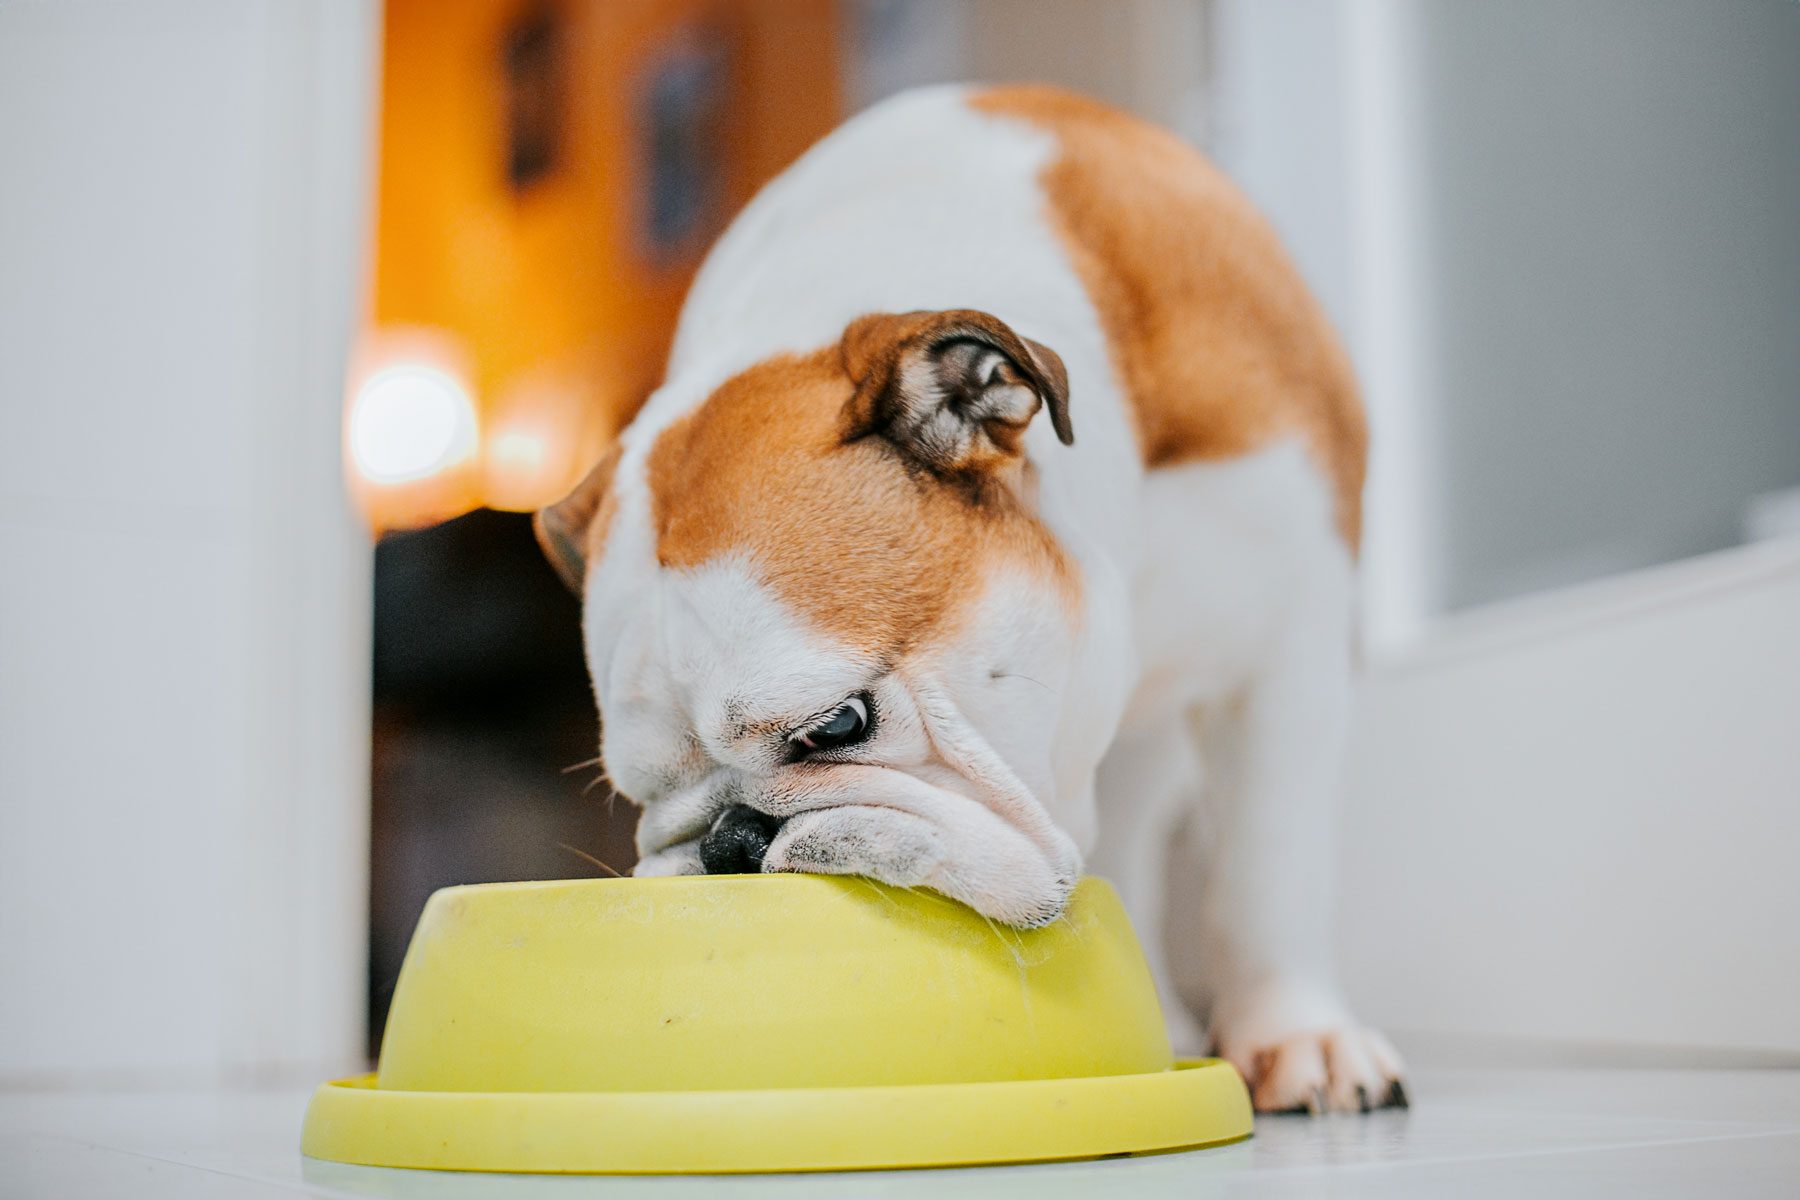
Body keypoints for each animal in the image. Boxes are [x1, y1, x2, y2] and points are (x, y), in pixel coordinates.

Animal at [532, 86, 1404, 1115]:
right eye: (641, 796)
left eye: (838, 724)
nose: (729, 841)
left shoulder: (1285, 650)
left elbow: (1270, 867)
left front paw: (1298, 1035)